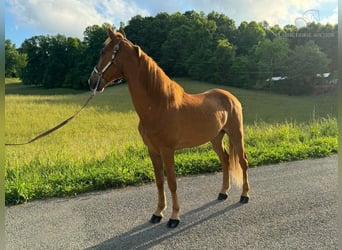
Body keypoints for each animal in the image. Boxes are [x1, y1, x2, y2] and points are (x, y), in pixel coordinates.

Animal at [87, 28, 248, 228]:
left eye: (103, 52)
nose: (91, 81)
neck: (159, 105)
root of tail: (230, 97)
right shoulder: (153, 150)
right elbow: (159, 182)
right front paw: (158, 213)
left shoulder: (167, 150)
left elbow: (172, 182)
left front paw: (174, 217)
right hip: (216, 138)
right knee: (225, 161)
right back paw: (223, 193)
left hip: (236, 135)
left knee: (243, 161)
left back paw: (244, 195)